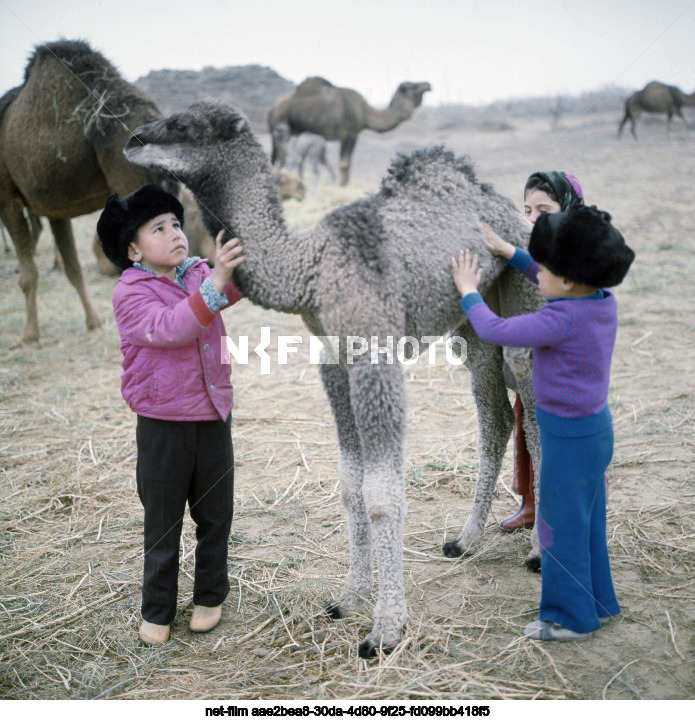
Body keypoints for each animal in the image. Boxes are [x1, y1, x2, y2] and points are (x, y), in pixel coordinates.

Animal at [0, 39, 175, 344]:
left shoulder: (7, 198)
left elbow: (28, 276)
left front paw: (29, 336)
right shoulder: (54, 208)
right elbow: (74, 268)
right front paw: (93, 323)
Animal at [124, 100, 543, 658]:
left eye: (184, 126)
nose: (133, 140)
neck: (311, 269)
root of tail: (506, 212)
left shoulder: (374, 358)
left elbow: (382, 495)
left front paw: (386, 628)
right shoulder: (334, 360)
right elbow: (350, 485)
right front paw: (348, 597)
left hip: (521, 294)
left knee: (535, 417)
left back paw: (539, 553)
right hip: (469, 328)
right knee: (494, 416)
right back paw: (465, 538)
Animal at [268, 77, 431, 186]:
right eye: (411, 86)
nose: (428, 84)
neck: (366, 113)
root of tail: (272, 108)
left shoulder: (354, 133)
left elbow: (348, 163)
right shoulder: (348, 133)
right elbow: (344, 163)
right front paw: (341, 188)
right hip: (282, 124)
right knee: (282, 157)